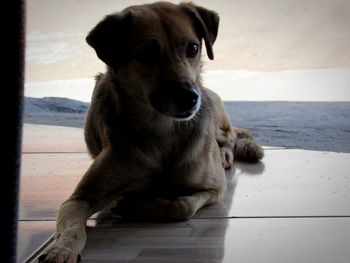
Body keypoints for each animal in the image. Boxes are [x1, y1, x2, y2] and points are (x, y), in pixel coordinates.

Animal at [38, 2, 262, 263]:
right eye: (146, 54)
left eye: (193, 48)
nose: (190, 97)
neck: (163, 130)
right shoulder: (79, 198)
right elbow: (73, 227)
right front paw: (61, 248)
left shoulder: (214, 189)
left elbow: (182, 207)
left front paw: (133, 206)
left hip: (217, 115)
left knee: (232, 135)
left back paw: (227, 153)